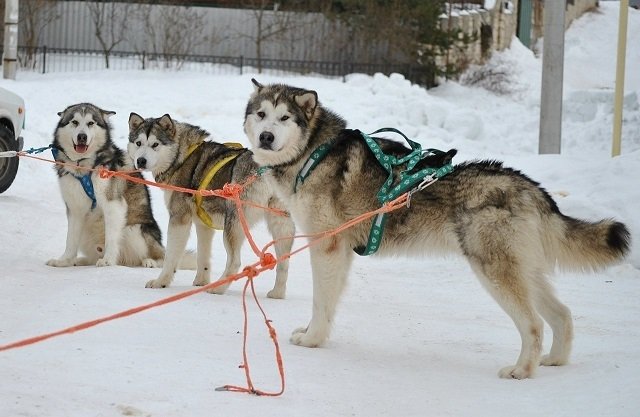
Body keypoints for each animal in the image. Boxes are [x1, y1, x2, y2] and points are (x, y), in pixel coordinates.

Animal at [47, 102, 172, 268]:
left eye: (90, 123)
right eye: (74, 122)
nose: (82, 136)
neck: (84, 167)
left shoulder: (113, 204)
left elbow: (112, 238)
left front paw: (108, 260)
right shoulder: (75, 208)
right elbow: (70, 240)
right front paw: (64, 260)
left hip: (135, 230)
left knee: (160, 257)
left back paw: (150, 261)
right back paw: (80, 261)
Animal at [128, 112, 298, 298]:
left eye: (155, 144)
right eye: (138, 143)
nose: (141, 161)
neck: (182, 155)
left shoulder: (179, 219)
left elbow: (171, 256)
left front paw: (161, 282)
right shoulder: (203, 225)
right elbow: (203, 257)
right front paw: (200, 282)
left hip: (233, 225)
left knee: (235, 261)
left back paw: (218, 288)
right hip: (281, 224)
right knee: (283, 263)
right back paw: (277, 293)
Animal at [244, 79, 632, 380]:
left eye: (284, 118)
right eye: (261, 114)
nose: (266, 136)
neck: (313, 152)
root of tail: (529, 187)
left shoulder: (326, 247)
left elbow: (320, 302)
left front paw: (312, 340)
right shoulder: (339, 253)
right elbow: (328, 302)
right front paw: (317, 335)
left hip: (494, 271)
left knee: (534, 325)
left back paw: (522, 370)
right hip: (525, 271)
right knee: (563, 315)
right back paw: (554, 360)